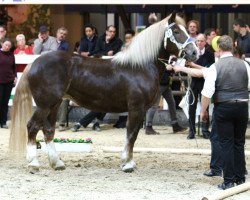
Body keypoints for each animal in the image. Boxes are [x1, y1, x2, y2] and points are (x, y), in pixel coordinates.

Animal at [9, 12, 197, 173]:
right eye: (176, 31)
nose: (194, 52)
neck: (139, 66)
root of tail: (34, 63)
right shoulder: (136, 108)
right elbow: (131, 135)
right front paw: (127, 164)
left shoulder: (141, 110)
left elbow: (134, 135)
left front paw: (129, 162)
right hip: (44, 105)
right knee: (32, 127)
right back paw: (33, 164)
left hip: (54, 105)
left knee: (48, 130)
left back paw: (57, 163)